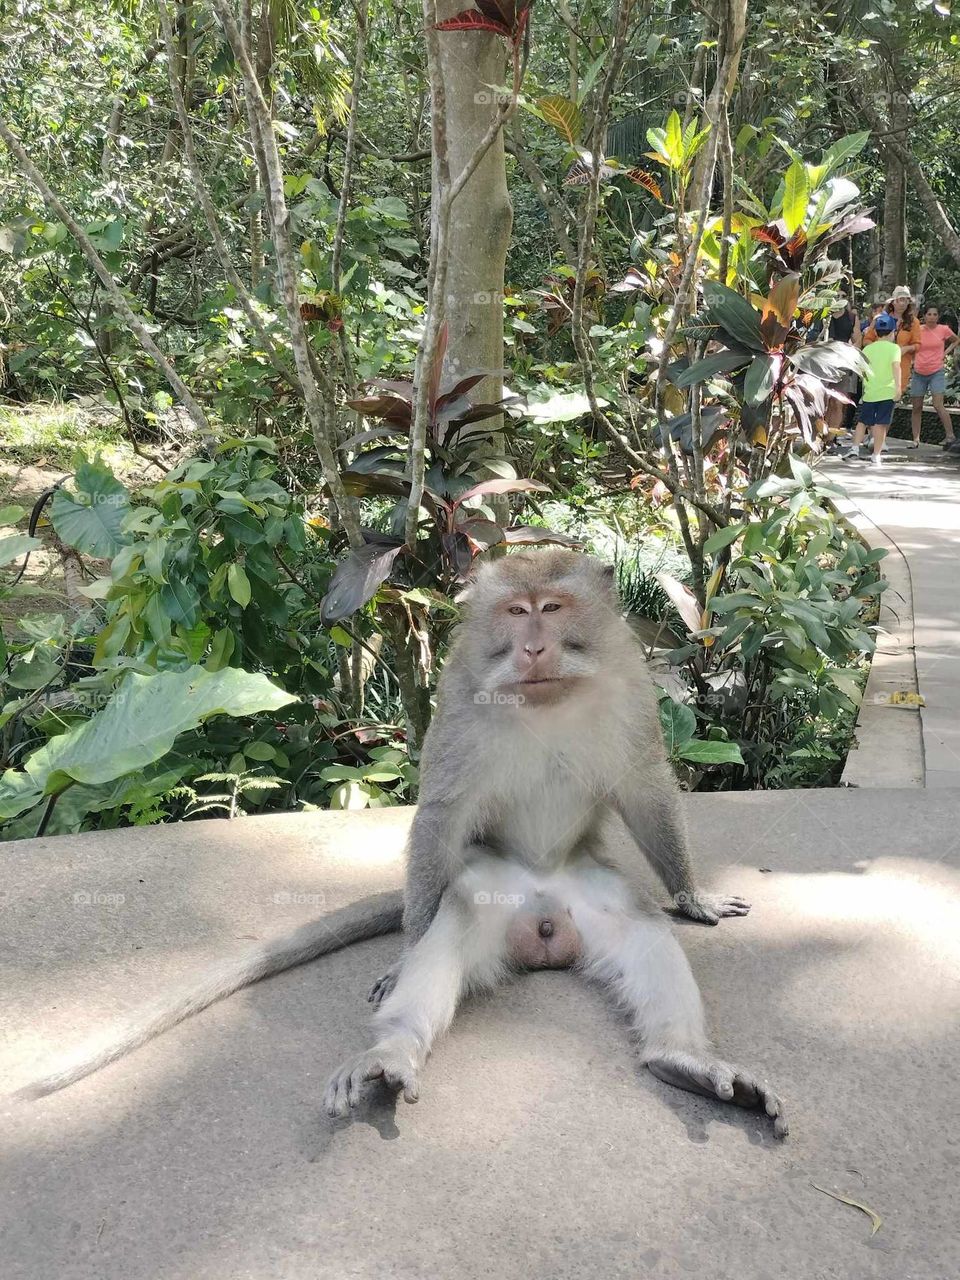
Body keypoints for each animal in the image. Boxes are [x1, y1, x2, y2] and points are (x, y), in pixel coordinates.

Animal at [11, 549, 786, 1138]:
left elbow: (645, 787)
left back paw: (684, 1059)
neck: (546, 698)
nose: (533, 646)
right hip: (483, 888)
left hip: (592, 893)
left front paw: (694, 895)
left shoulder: (630, 689)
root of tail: (544, 919)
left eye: (554, 608)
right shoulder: (462, 694)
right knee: (452, 924)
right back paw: (393, 1054)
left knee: (644, 932)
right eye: (516, 612)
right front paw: (402, 958)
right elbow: (443, 811)